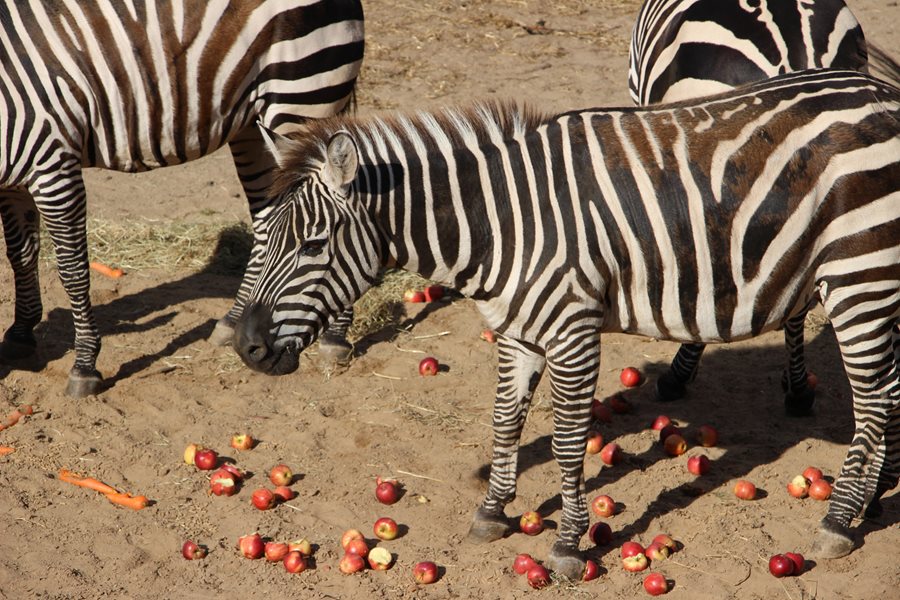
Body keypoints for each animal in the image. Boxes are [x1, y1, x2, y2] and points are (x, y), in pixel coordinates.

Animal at [0, 1, 366, 398]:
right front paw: (20, 334)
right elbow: (21, 255)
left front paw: (84, 364)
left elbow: (72, 270)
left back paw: (335, 337)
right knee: (270, 219)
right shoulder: (12, 181)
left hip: (304, 101)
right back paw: (234, 322)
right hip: (253, 125)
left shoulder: (53, 164)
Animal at [230, 71, 900, 580]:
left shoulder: (574, 331)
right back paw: (878, 496)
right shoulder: (517, 329)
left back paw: (838, 521)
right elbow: (504, 421)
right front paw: (493, 512)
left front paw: (567, 545)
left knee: (870, 402)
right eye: (260, 239)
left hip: (859, 273)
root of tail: (880, 92)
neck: (500, 224)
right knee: (889, 392)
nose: (246, 347)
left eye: (314, 245)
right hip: (878, 279)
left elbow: (568, 441)